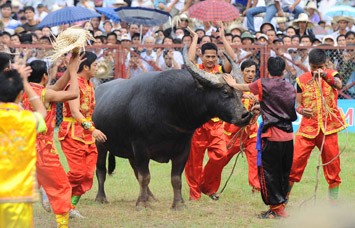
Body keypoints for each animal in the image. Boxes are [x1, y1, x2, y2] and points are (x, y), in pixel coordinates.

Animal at [92, 48, 253, 210]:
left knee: (135, 170)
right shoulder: (140, 147)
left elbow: (176, 179)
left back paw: (151, 197)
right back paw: (101, 197)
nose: (245, 115)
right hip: (100, 144)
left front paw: (178, 204)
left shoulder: (182, 150)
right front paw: (141, 204)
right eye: (225, 92)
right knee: (101, 169)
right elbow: (145, 176)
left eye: (240, 93)